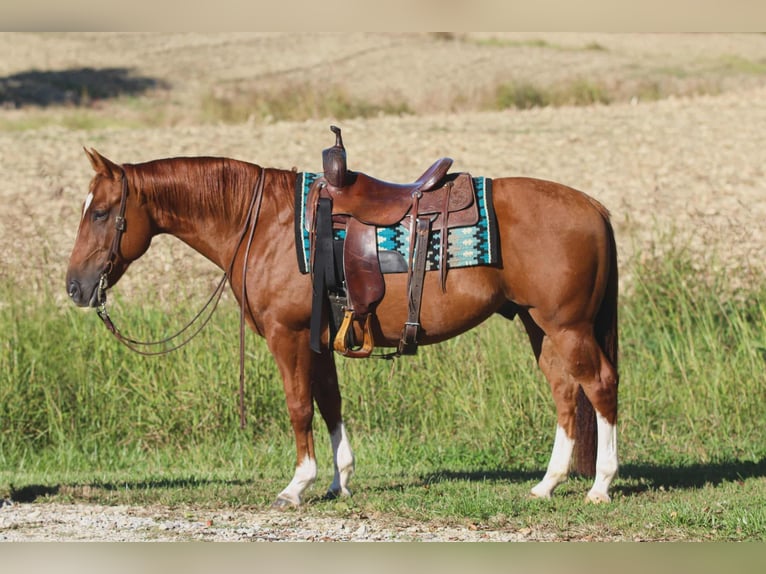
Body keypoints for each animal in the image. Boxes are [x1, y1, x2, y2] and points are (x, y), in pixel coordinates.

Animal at [65, 146, 619, 507]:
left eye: (101, 212)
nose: (74, 287)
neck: (264, 224)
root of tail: (593, 206)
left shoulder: (288, 336)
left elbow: (298, 406)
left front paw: (296, 486)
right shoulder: (319, 340)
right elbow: (329, 403)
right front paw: (339, 481)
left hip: (567, 326)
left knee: (599, 385)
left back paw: (600, 485)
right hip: (539, 325)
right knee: (565, 391)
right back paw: (547, 484)